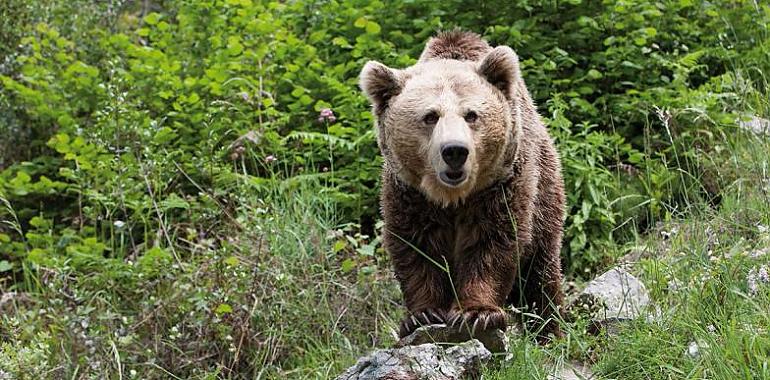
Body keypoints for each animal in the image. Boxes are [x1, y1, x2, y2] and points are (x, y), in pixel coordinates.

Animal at [360, 30, 564, 342]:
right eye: (430, 116)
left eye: (471, 114)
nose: (455, 151)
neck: (453, 197)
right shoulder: (410, 195)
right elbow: (416, 248)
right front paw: (423, 315)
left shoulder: (501, 186)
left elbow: (493, 242)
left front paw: (477, 312)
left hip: (546, 193)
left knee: (539, 277)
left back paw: (548, 331)